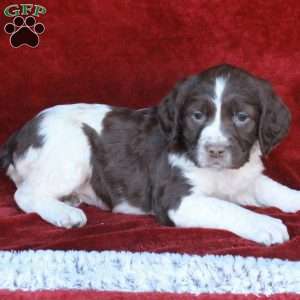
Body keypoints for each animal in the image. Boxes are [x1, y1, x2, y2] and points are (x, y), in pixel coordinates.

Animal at [1, 64, 298, 245]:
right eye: (197, 116)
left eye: (242, 117)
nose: (215, 151)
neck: (219, 173)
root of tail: (20, 133)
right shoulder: (176, 200)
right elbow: (227, 207)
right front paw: (267, 224)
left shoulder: (243, 178)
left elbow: (271, 187)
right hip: (74, 147)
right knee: (24, 193)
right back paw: (64, 213)